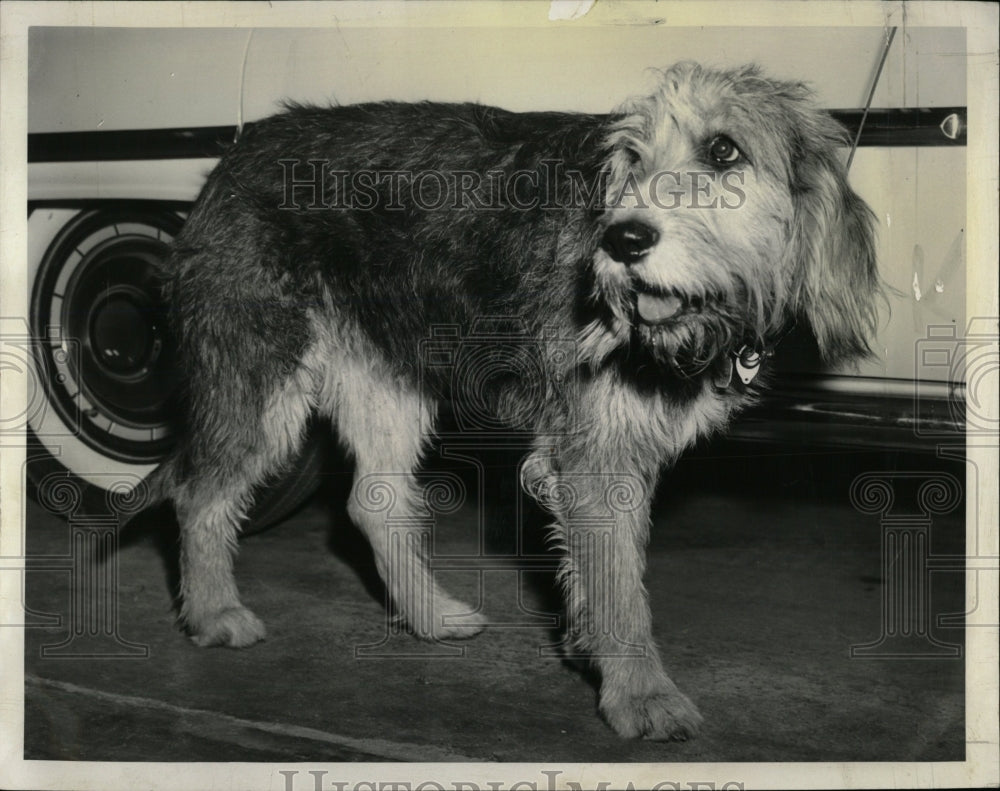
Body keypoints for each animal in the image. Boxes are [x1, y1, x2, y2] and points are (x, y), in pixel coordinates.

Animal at [145, 63, 880, 744]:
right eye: (632, 159)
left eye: (725, 151)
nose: (622, 240)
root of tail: (240, 146)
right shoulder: (595, 461)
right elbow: (620, 587)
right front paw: (642, 694)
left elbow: (604, 573)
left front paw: (593, 652)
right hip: (257, 382)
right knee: (198, 493)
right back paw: (213, 614)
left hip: (388, 385)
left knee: (371, 502)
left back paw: (430, 616)